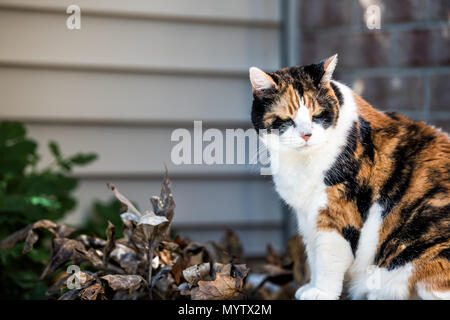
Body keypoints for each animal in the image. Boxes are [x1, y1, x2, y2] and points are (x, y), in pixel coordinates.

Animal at [250, 53, 450, 298]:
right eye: (287, 118)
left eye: (317, 115)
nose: (306, 134)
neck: (302, 164)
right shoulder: (307, 215)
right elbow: (314, 255)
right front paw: (310, 286)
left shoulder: (336, 211)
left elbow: (327, 258)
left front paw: (322, 292)